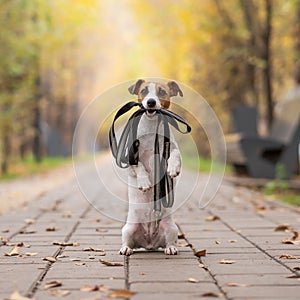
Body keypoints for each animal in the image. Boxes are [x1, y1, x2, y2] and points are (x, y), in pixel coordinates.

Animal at [119, 79, 183, 255]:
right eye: (144, 91)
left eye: (162, 92)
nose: (151, 102)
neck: (151, 127)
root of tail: (149, 244)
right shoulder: (129, 160)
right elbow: (140, 166)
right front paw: (144, 182)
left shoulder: (171, 147)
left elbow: (176, 154)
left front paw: (172, 168)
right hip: (128, 229)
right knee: (127, 242)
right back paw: (126, 249)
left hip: (171, 228)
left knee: (170, 241)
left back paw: (171, 248)